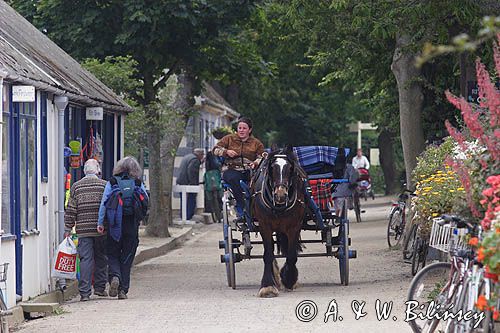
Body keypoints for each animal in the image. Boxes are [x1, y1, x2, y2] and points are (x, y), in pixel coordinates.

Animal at [252, 145, 306, 296]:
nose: (280, 195)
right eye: (272, 168)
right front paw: (268, 286)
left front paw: (288, 278)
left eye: (290, 168)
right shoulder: (264, 226)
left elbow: (292, 255)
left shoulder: (294, 226)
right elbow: (268, 255)